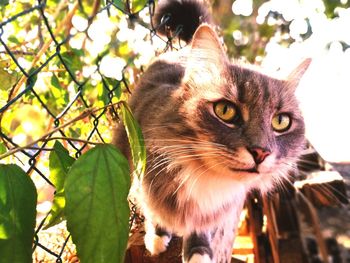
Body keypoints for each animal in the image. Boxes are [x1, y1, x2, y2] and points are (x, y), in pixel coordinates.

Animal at [113, 1, 310, 262]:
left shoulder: (216, 213)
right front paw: (157, 237)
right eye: (225, 111)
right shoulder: (143, 181)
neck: (208, 179)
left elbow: (201, 230)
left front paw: (198, 252)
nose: (261, 152)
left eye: (281, 122)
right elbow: (154, 214)